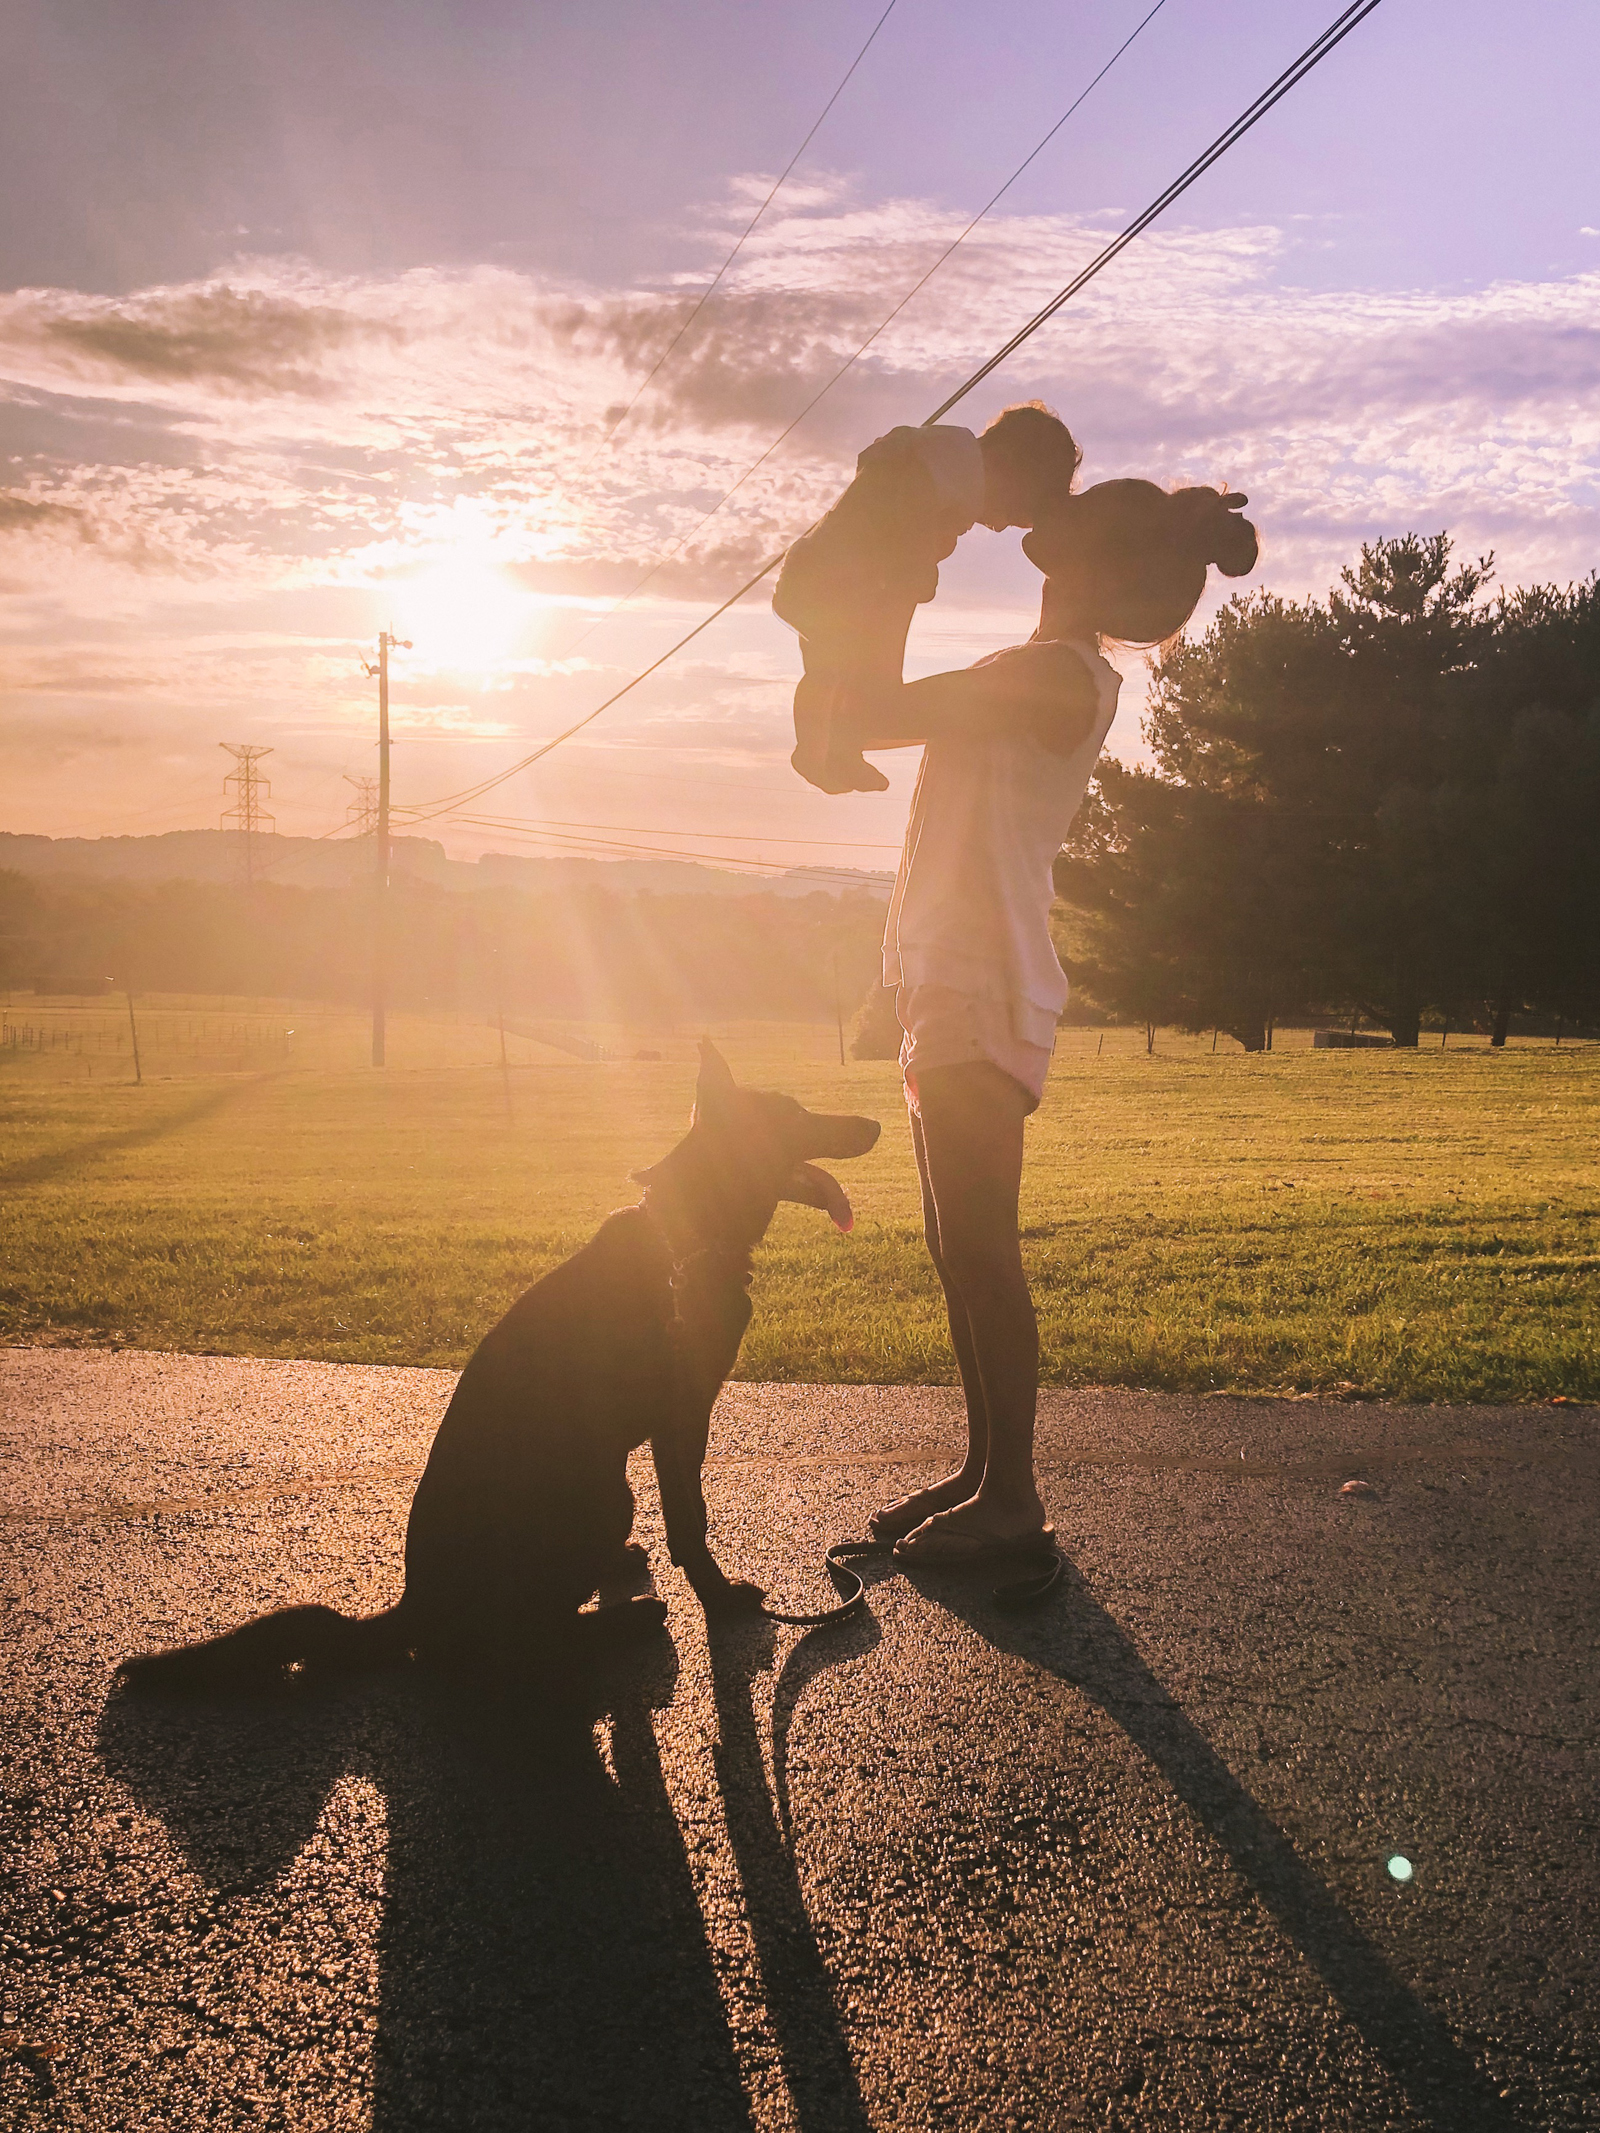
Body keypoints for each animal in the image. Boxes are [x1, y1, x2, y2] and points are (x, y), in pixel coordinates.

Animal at [118, 1040, 883, 1689]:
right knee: (519, 1643)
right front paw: (721, 1600)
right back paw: (624, 1623)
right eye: (795, 1116)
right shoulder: (680, 1420)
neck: (686, 1236)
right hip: (601, 1493)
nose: (877, 1123)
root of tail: (415, 1607)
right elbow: (690, 1521)